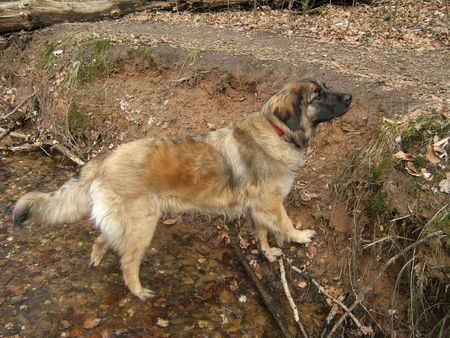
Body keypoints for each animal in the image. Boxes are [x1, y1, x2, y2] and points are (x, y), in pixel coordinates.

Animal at [13, 80, 352, 302]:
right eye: (318, 94)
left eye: (325, 87)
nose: (350, 96)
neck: (277, 131)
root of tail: (103, 160)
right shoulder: (270, 204)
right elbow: (283, 224)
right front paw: (299, 236)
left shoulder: (258, 208)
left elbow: (262, 233)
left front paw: (268, 253)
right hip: (141, 226)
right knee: (128, 262)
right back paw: (138, 291)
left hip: (123, 222)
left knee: (102, 239)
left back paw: (97, 260)